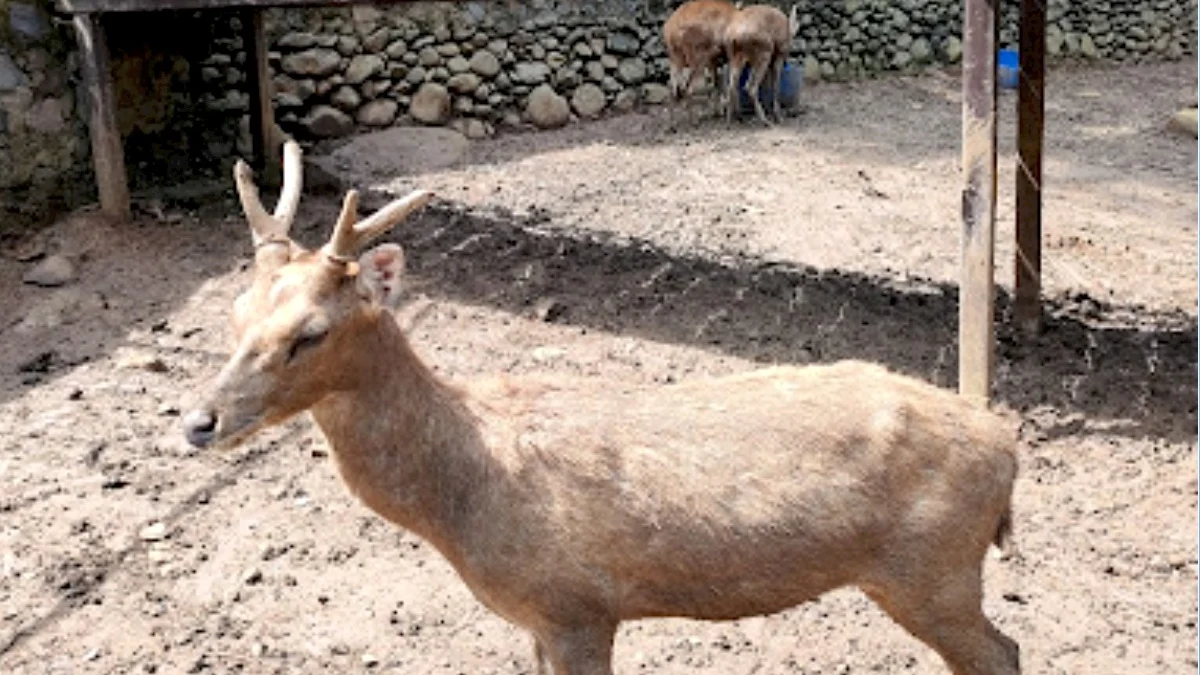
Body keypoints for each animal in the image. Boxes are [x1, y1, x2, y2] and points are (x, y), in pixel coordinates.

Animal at [184, 141, 1022, 672]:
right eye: (234, 310)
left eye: (310, 333)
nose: (198, 421)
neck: (462, 500)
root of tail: (1008, 446)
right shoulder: (541, 619)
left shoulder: (577, 605)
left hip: (933, 569)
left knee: (1004, 652)